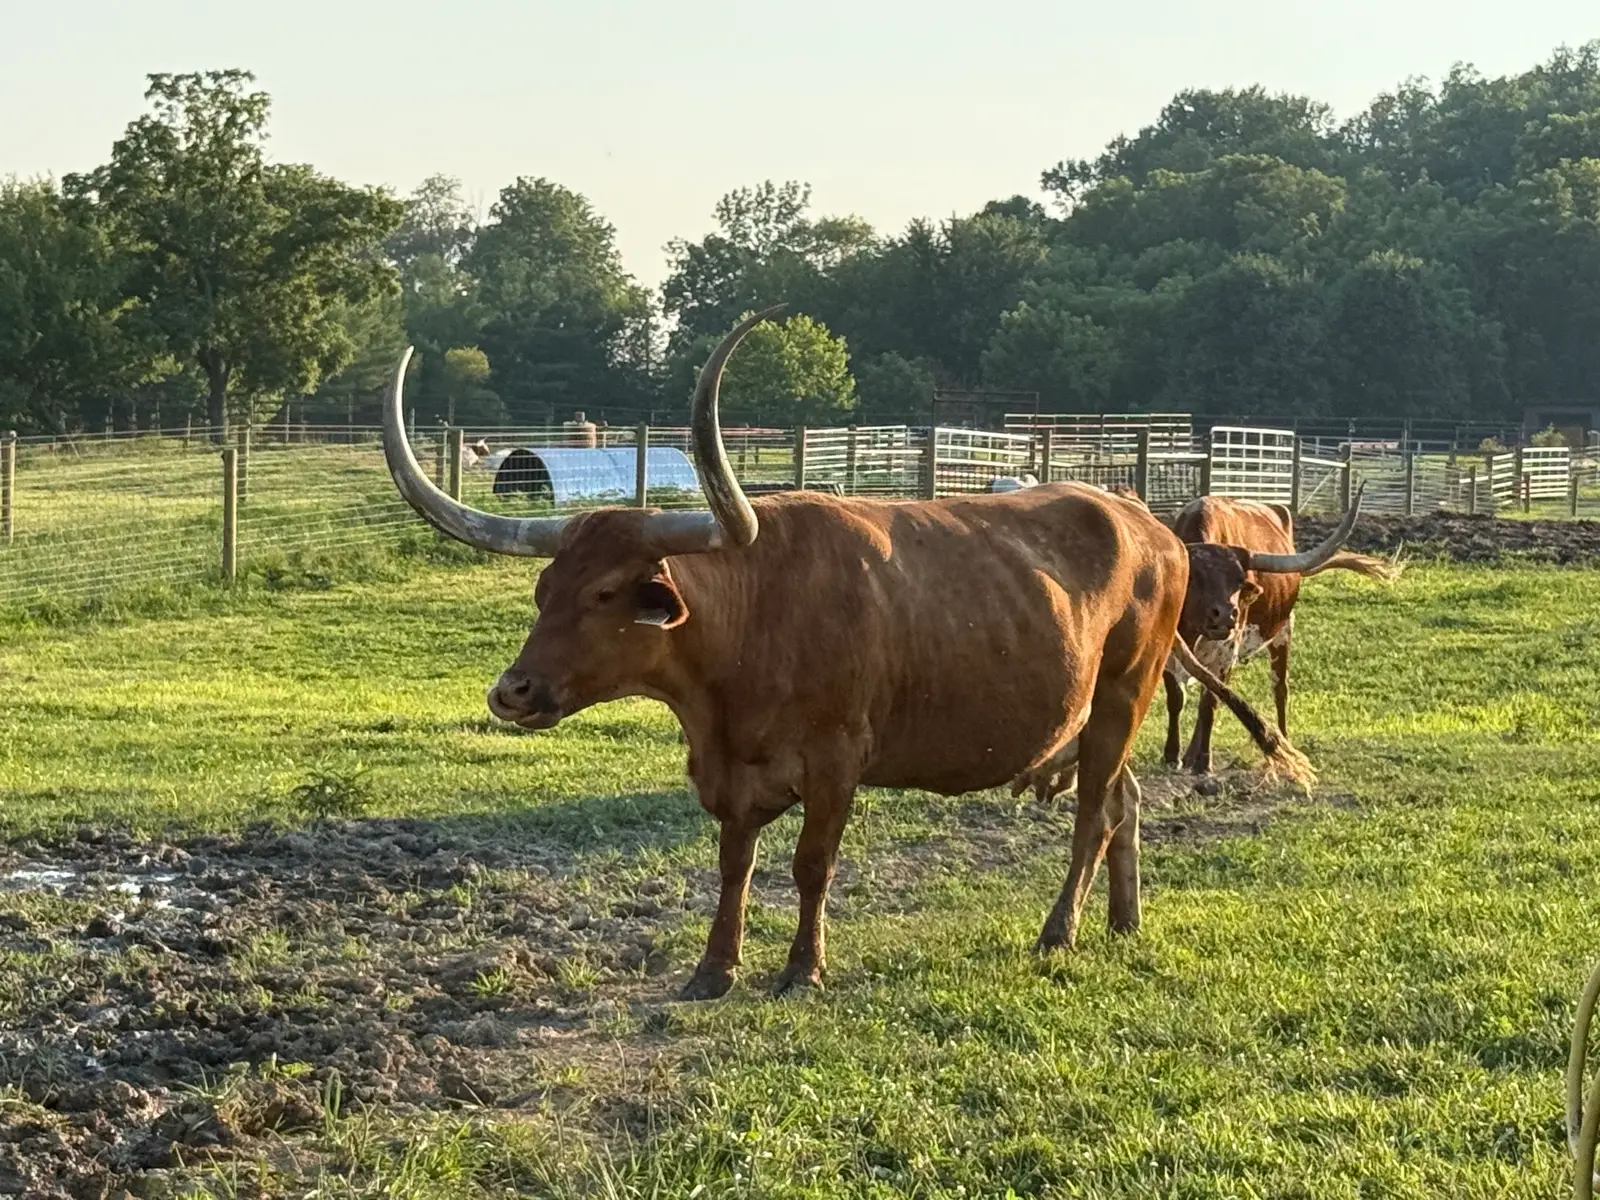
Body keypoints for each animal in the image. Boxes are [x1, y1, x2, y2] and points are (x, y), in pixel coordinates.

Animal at [381, 309, 1324, 1001]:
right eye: (544, 589)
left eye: (609, 594)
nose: (513, 691)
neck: (747, 637)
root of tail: (1145, 522)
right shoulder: (730, 775)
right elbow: (734, 866)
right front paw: (713, 969)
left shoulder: (836, 761)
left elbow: (810, 865)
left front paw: (802, 968)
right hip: (1102, 712)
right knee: (1125, 799)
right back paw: (1123, 922)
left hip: (1124, 692)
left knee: (1094, 812)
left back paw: (1058, 932)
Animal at [1163, 496, 1401, 776]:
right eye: (1194, 578)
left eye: (1239, 581)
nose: (1227, 615)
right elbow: (1176, 699)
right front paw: (1172, 755)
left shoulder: (1226, 651)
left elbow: (1208, 703)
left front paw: (1203, 762)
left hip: (1284, 631)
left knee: (1279, 689)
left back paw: (1282, 740)